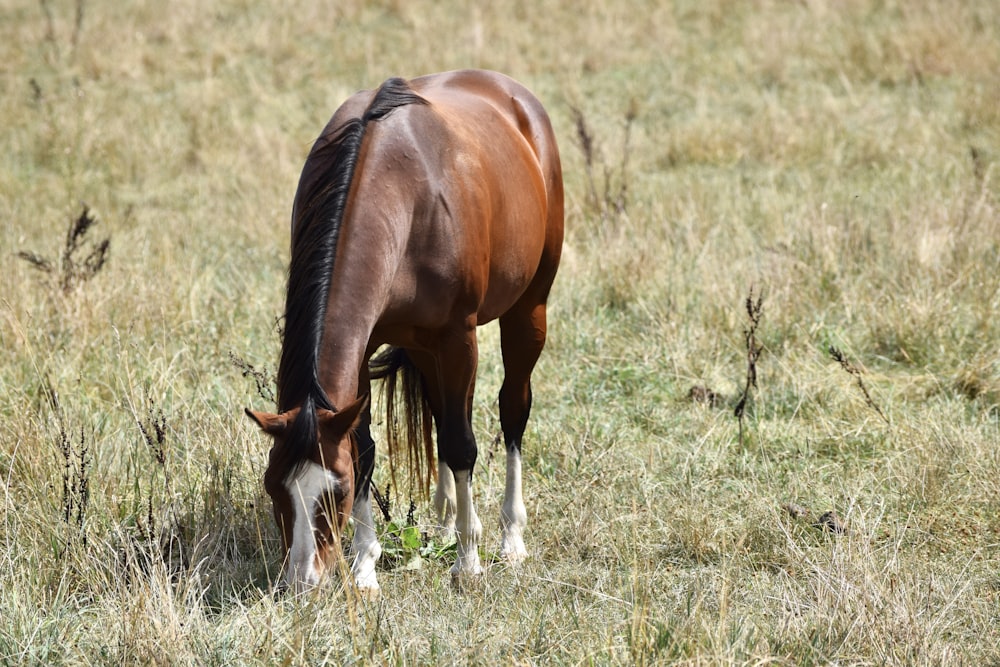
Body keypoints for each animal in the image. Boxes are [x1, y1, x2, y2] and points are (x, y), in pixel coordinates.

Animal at [245, 69, 564, 596]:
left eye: (336, 491)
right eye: (274, 487)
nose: (303, 583)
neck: (403, 197)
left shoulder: (458, 338)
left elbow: (461, 443)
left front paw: (468, 563)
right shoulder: (365, 349)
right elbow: (369, 447)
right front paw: (365, 568)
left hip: (528, 309)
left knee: (512, 409)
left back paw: (509, 537)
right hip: (423, 346)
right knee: (440, 411)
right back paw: (446, 522)